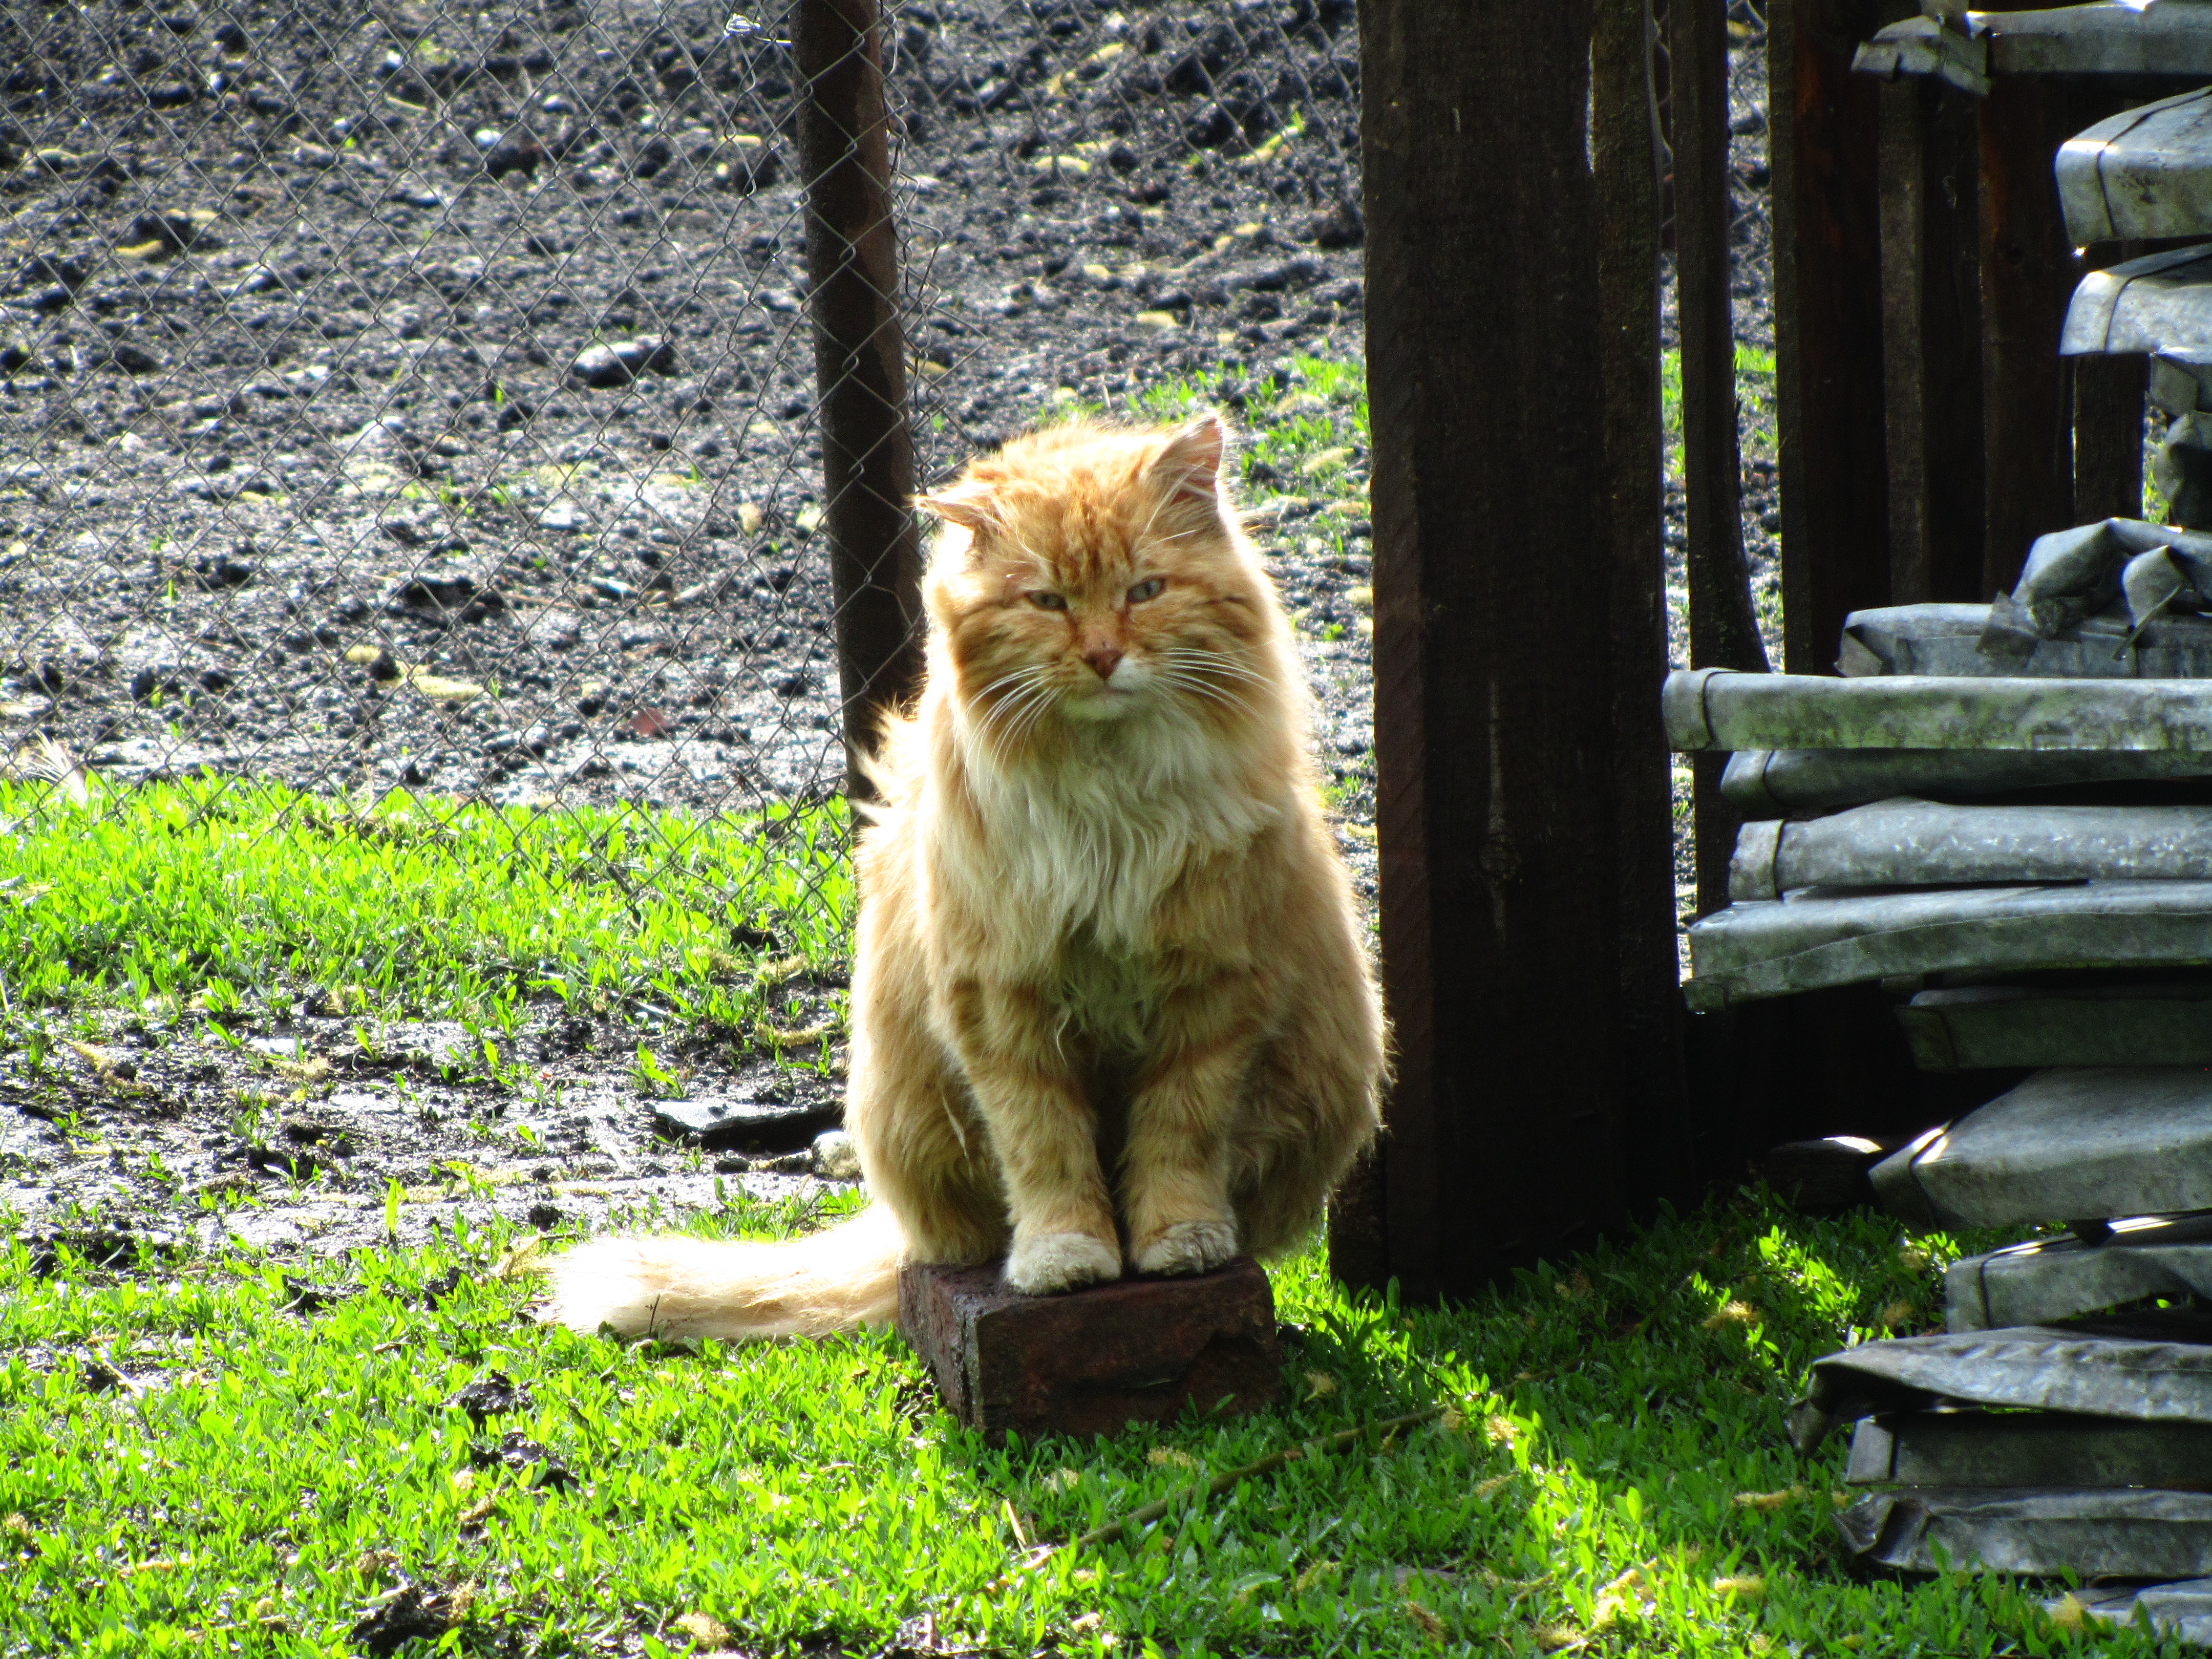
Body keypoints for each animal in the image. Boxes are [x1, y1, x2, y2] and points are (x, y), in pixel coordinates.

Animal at [544, 418, 1380, 1353]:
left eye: (1145, 591)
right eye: (1047, 602)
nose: (1103, 656)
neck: (1112, 806)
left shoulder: (1210, 991)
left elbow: (1180, 1138)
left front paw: (1179, 1241)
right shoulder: (1003, 1004)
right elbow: (1047, 1153)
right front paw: (1065, 1256)